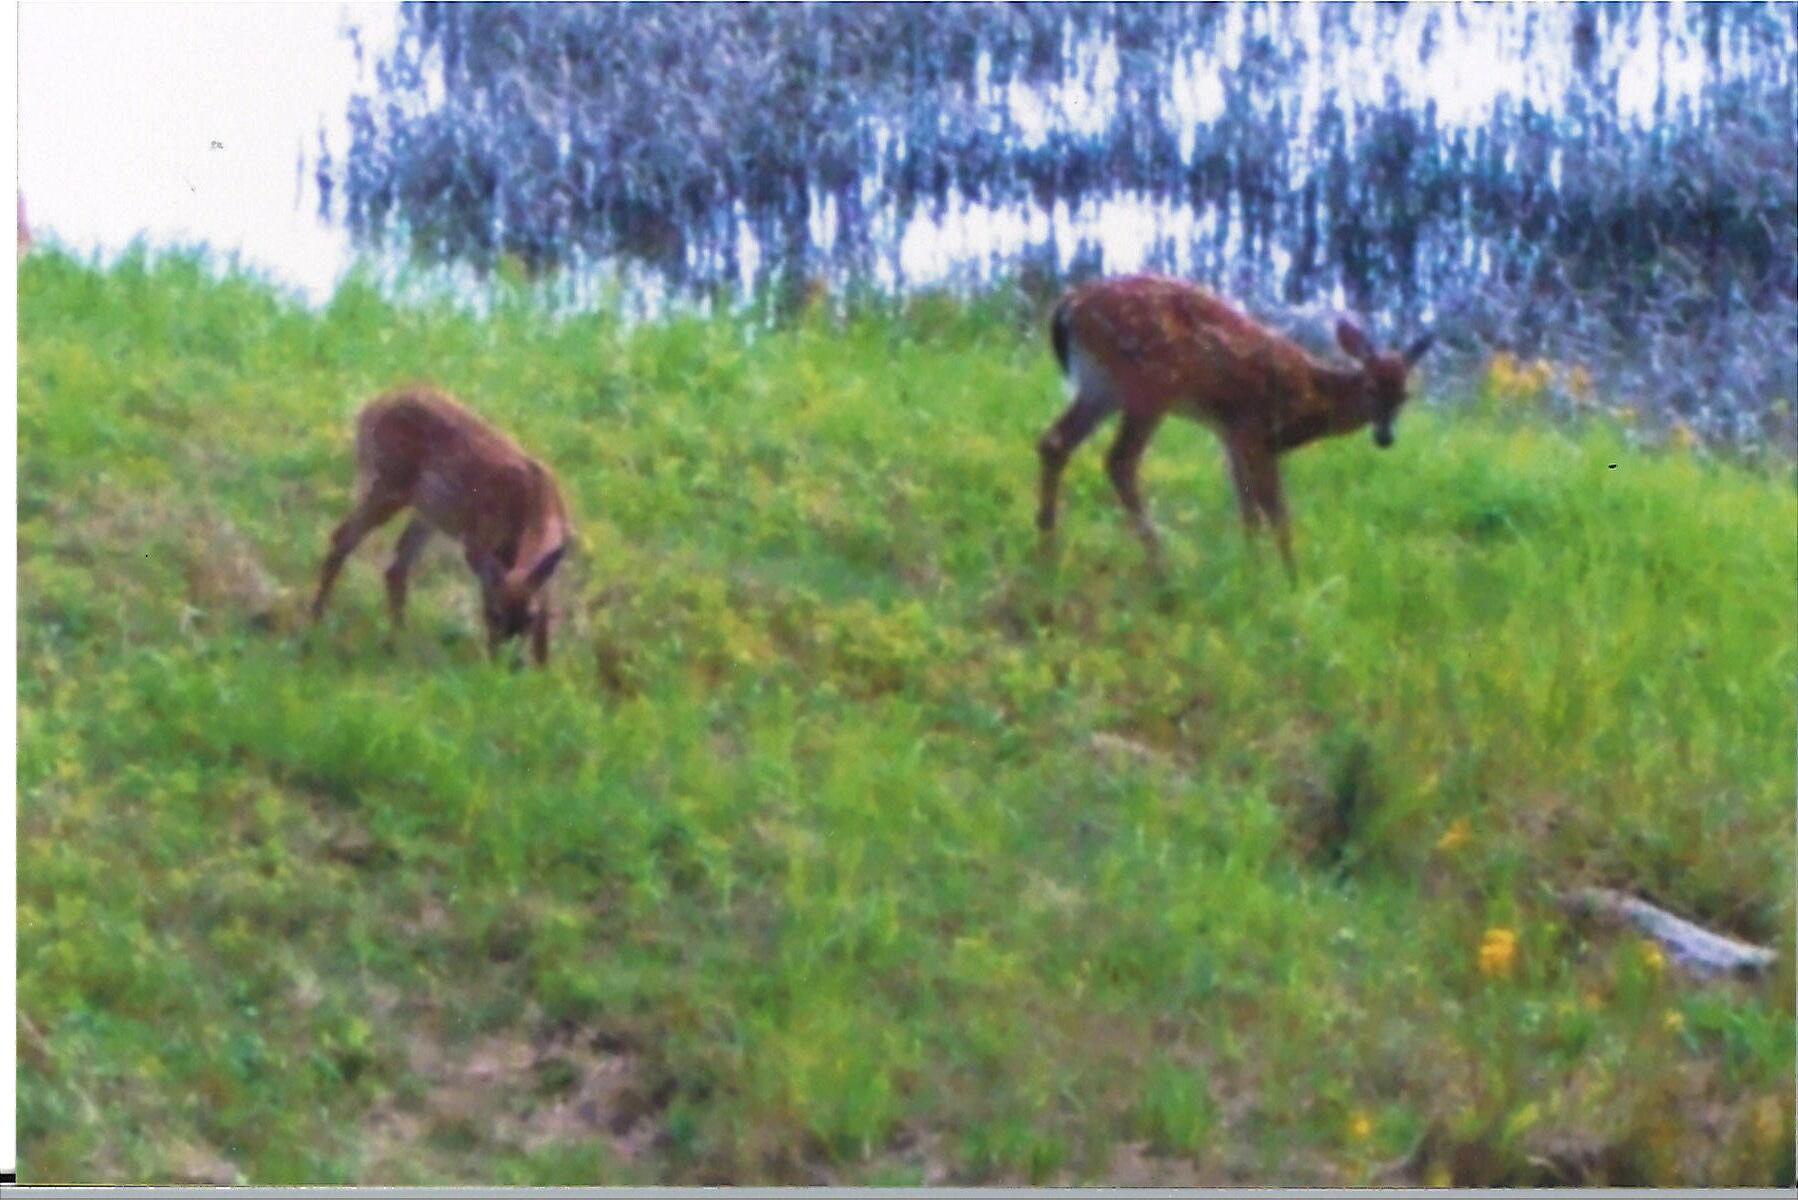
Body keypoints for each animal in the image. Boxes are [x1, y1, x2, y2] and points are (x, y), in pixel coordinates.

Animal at [310, 386, 572, 666]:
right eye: (496, 614)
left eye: (529, 616)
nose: (513, 666)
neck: (535, 505)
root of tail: (368, 409)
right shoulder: (480, 543)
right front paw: (492, 667)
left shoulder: (545, 570)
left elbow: (544, 627)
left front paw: (544, 671)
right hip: (389, 484)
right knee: (343, 537)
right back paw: (317, 619)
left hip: (426, 513)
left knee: (396, 566)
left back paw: (397, 644)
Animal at [1036, 275, 1435, 580]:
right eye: (1369, 387)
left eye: (1405, 395)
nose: (1385, 437)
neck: (1310, 398)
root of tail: (1069, 306)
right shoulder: (1255, 430)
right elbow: (1276, 512)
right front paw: (1292, 580)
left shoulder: (1230, 436)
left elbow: (1248, 513)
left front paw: (1254, 573)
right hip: (1150, 385)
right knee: (1119, 460)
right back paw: (1160, 564)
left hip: (1100, 386)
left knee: (1054, 441)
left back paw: (1047, 546)